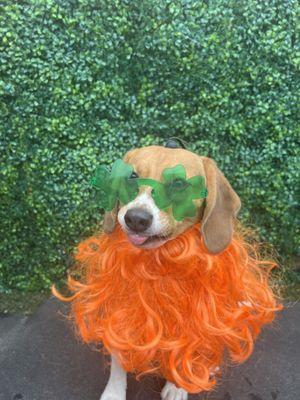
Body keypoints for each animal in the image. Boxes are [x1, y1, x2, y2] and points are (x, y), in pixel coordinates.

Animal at [54, 141, 282, 400]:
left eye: (179, 184)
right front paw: (114, 392)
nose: (136, 218)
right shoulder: (119, 312)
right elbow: (118, 360)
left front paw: (178, 385)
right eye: (132, 176)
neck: (157, 263)